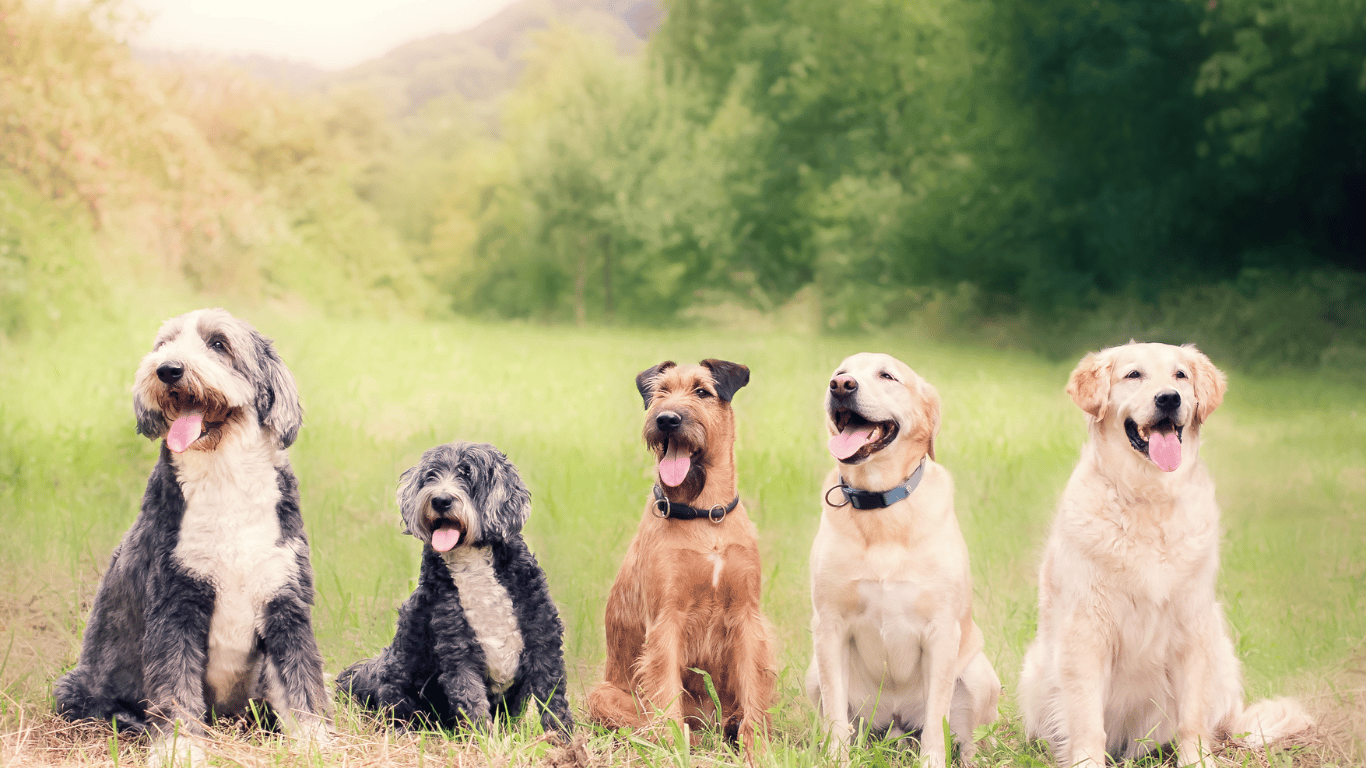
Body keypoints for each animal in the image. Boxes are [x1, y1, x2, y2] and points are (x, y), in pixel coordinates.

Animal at [53, 307, 333, 759]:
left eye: (218, 343)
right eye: (164, 344)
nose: (168, 369)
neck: (226, 478)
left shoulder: (284, 601)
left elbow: (301, 681)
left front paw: (315, 743)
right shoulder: (175, 603)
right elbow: (175, 687)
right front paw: (179, 749)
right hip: (74, 689)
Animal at [341, 442, 576, 737]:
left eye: (467, 474)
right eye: (431, 475)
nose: (441, 500)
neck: (471, 561)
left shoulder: (543, 639)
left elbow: (553, 698)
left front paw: (564, 739)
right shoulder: (457, 650)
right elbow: (471, 701)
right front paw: (484, 742)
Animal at [587, 358, 781, 748]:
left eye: (702, 391)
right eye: (661, 392)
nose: (666, 419)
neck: (705, 516)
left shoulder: (746, 615)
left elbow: (753, 689)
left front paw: (757, 747)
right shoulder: (667, 619)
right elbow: (665, 692)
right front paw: (673, 746)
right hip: (601, 694)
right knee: (640, 719)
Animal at [797, 349, 1005, 759]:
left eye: (887, 376)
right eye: (840, 372)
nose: (840, 386)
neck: (881, 507)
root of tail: (895, 724)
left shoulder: (942, 630)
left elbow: (937, 723)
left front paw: (933, 761)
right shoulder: (829, 625)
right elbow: (836, 717)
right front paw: (836, 759)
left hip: (978, 674)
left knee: (968, 737)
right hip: (816, 674)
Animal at [1027, 341, 1311, 765]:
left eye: (1181, 375)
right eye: (1133, 375)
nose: (1168, 399)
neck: (1149, 497)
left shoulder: (1191, 627)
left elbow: (1192, 718)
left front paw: (1197, 759)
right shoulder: (1087, 630)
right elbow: (1086, 719)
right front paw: (1087, 759)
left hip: (1220, 654)